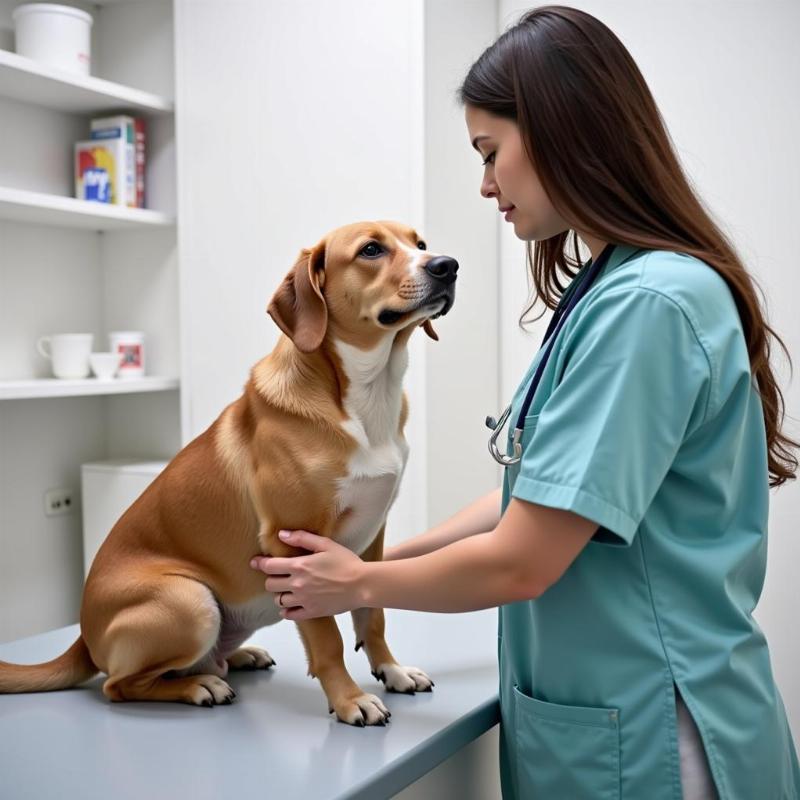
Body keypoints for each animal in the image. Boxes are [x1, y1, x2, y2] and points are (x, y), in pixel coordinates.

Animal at [0, 222, 456, 728]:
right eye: (371, 250)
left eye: (419, 244)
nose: (447, 265)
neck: (365, 396)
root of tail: (82, 634)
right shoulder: (293, 547)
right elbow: (327, 639)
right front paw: (349, 699)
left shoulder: (372, 538)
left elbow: (372, 613)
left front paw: (391, 670)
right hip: (190, 601)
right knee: (118, 686)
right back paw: (199, 686)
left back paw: (237, 658)